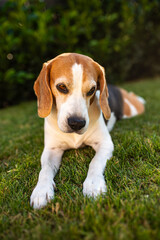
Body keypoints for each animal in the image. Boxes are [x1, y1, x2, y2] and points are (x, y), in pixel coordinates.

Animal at [30, 53, 145, 209]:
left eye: (92, 90)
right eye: (61, 87)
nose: (76, 123)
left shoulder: (105, 144)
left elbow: (95, 162)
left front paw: (93, 185)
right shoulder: (51, 150)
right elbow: (45, 170)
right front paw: (41, 191)